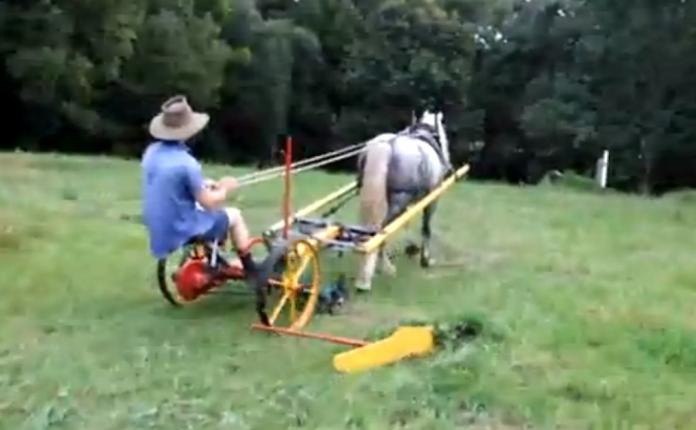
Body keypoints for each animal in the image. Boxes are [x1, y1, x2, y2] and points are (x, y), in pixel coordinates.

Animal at [355, 110, 452, 292]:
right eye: (443, 132)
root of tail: (386, 145)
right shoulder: (432, 199)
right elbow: (426, 228)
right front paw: (425, 259)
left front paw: (411, 248)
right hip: (398, 199)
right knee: (383, 230)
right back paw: (383, 269)